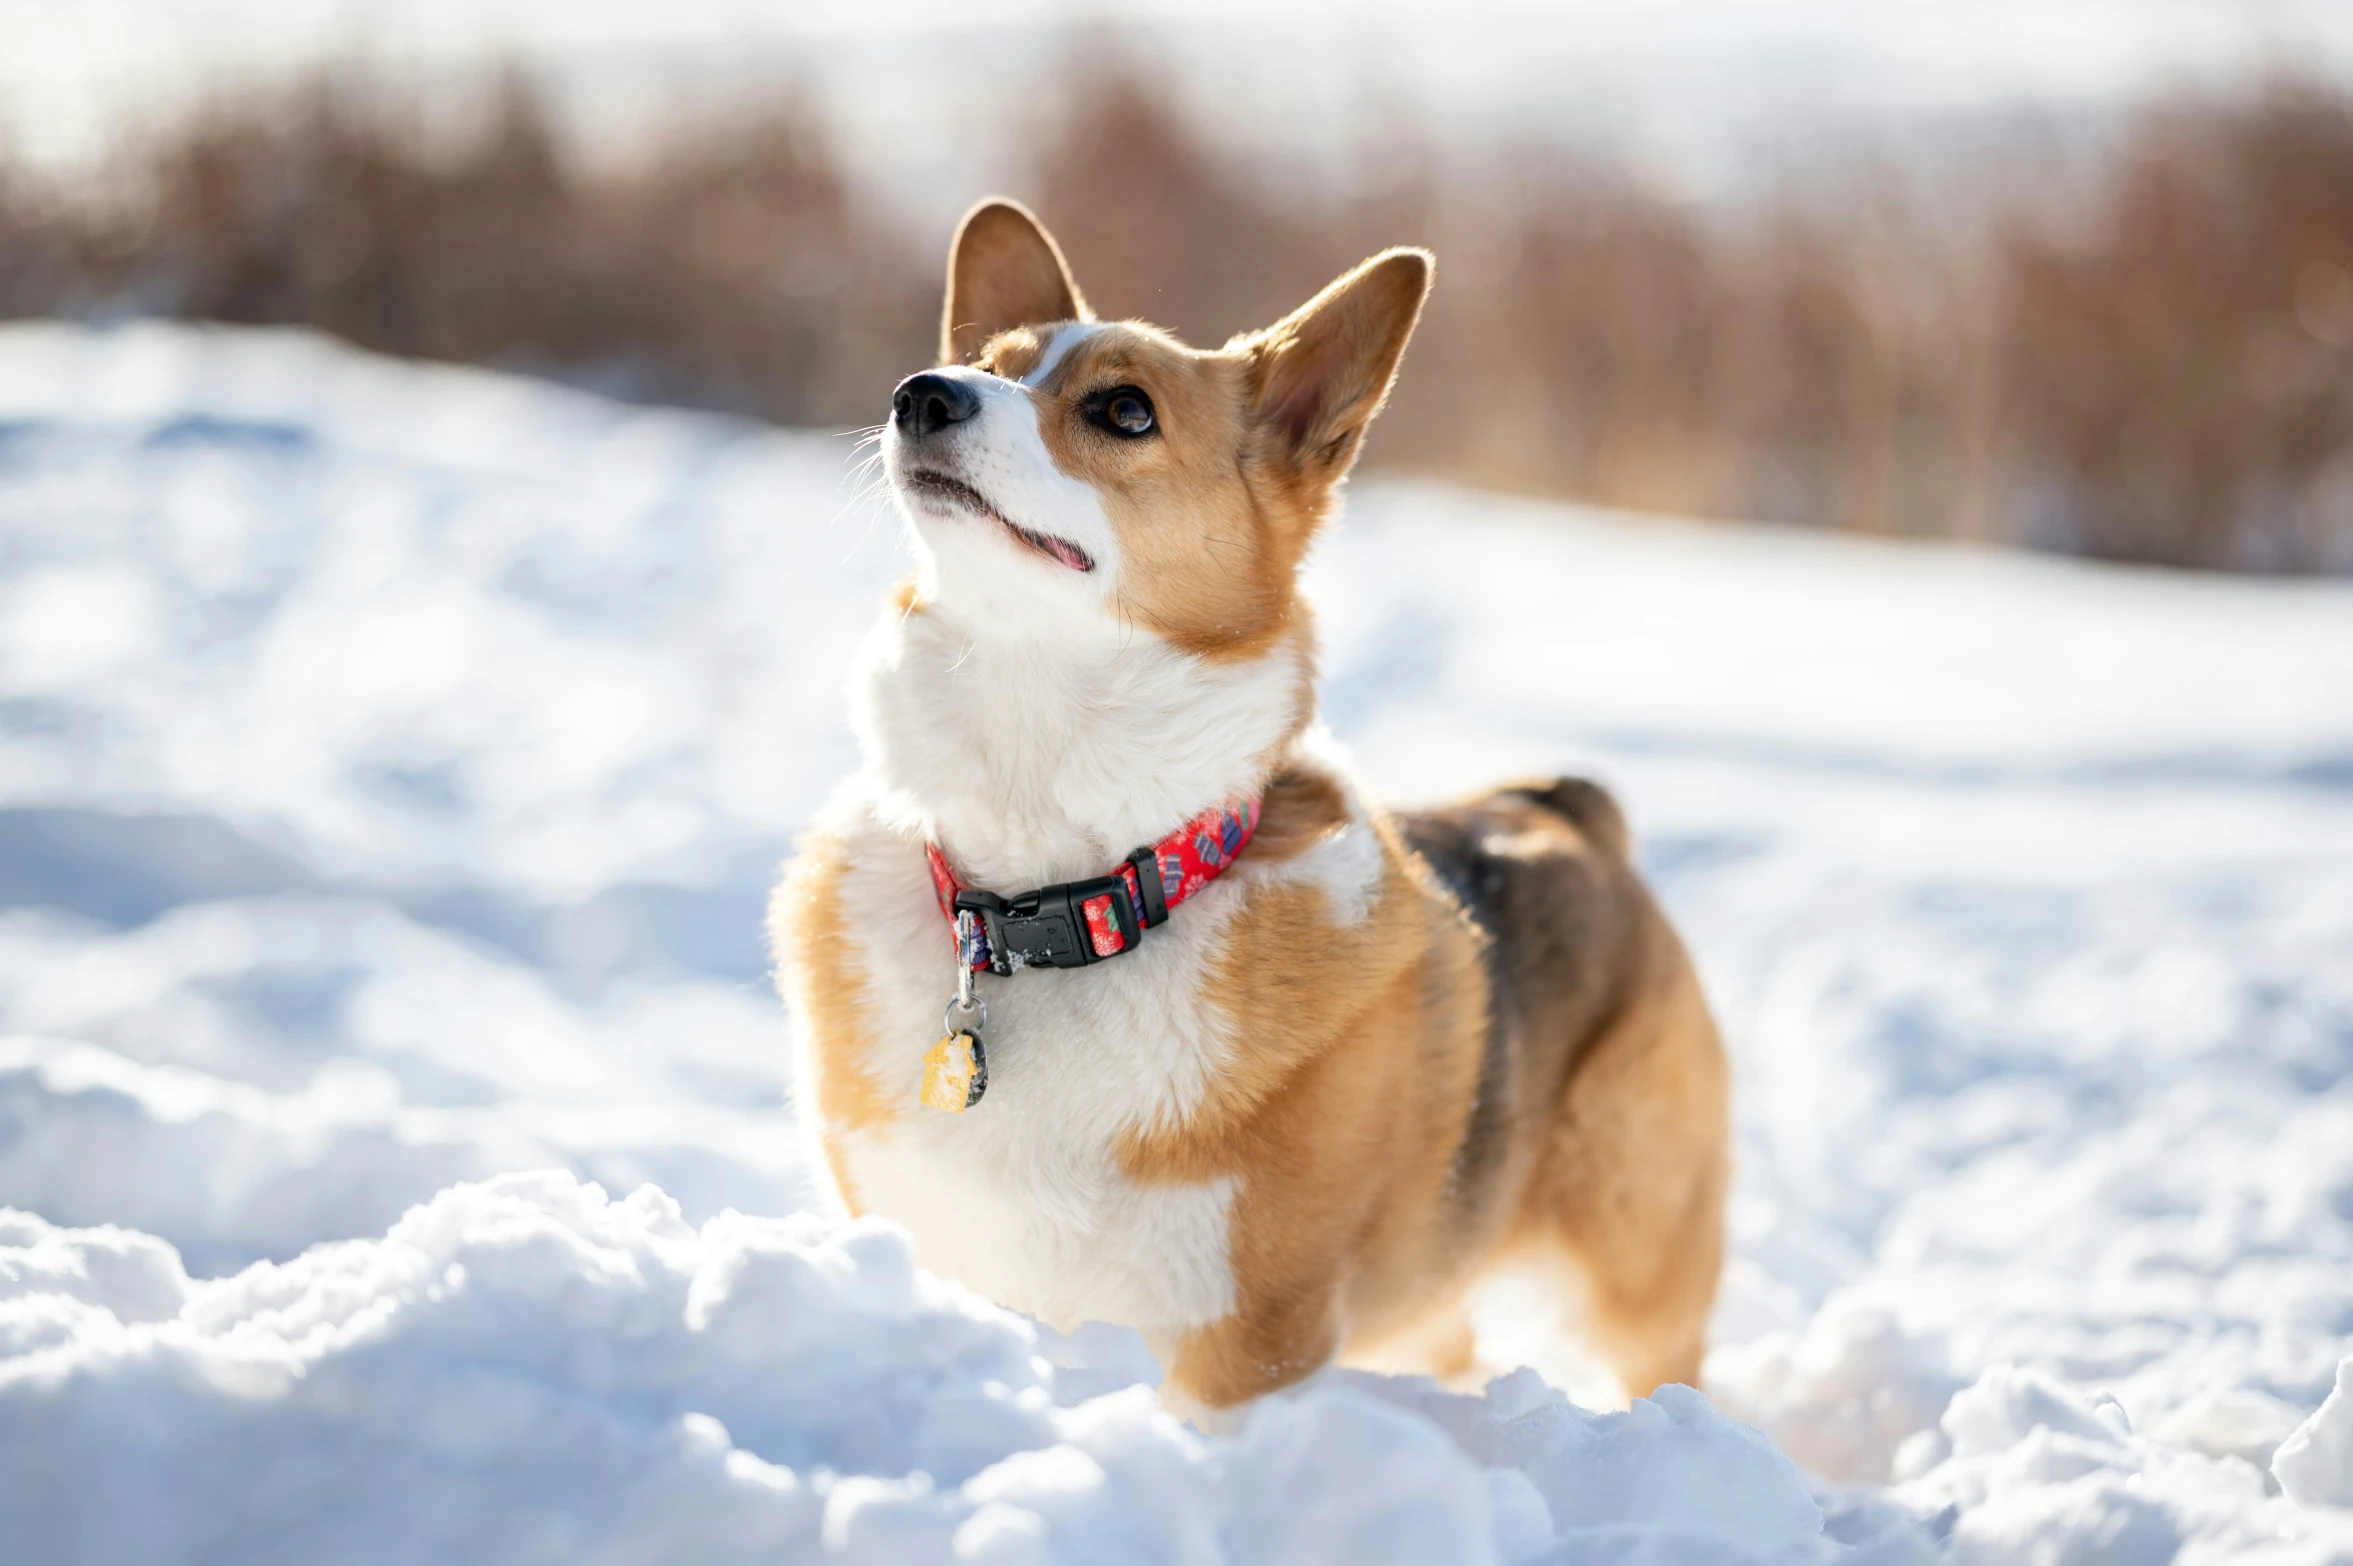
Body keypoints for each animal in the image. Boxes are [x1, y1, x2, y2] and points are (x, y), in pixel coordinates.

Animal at [771, 198, 1731, 1410]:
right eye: (986, 363)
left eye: (1123, 409)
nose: (922, 393)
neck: (1058, 902)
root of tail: (1560, 806)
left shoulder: (1248, 1342)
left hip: (1634, 1294)